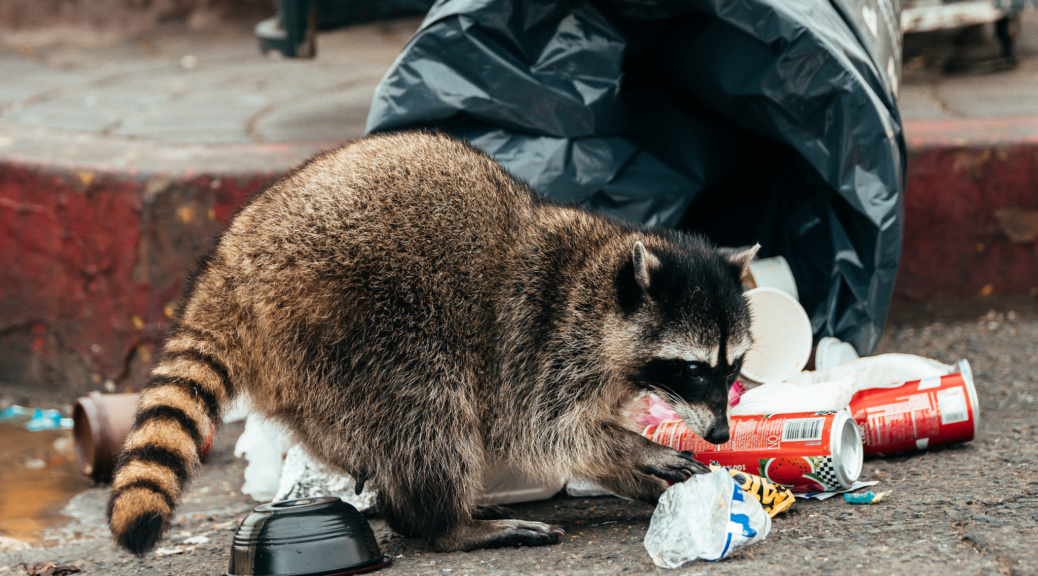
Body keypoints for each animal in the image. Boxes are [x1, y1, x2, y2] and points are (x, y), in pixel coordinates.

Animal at [107, 129, 755, 556]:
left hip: (308, 367)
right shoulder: (539, 341)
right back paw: (444, 523)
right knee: (425, 410)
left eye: (733, 368)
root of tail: (232, 264)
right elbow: (544, 430)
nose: (723, 433)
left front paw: (633, 470)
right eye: (694, 369)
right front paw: (635, 450)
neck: (601, 280)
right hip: (354, 322)